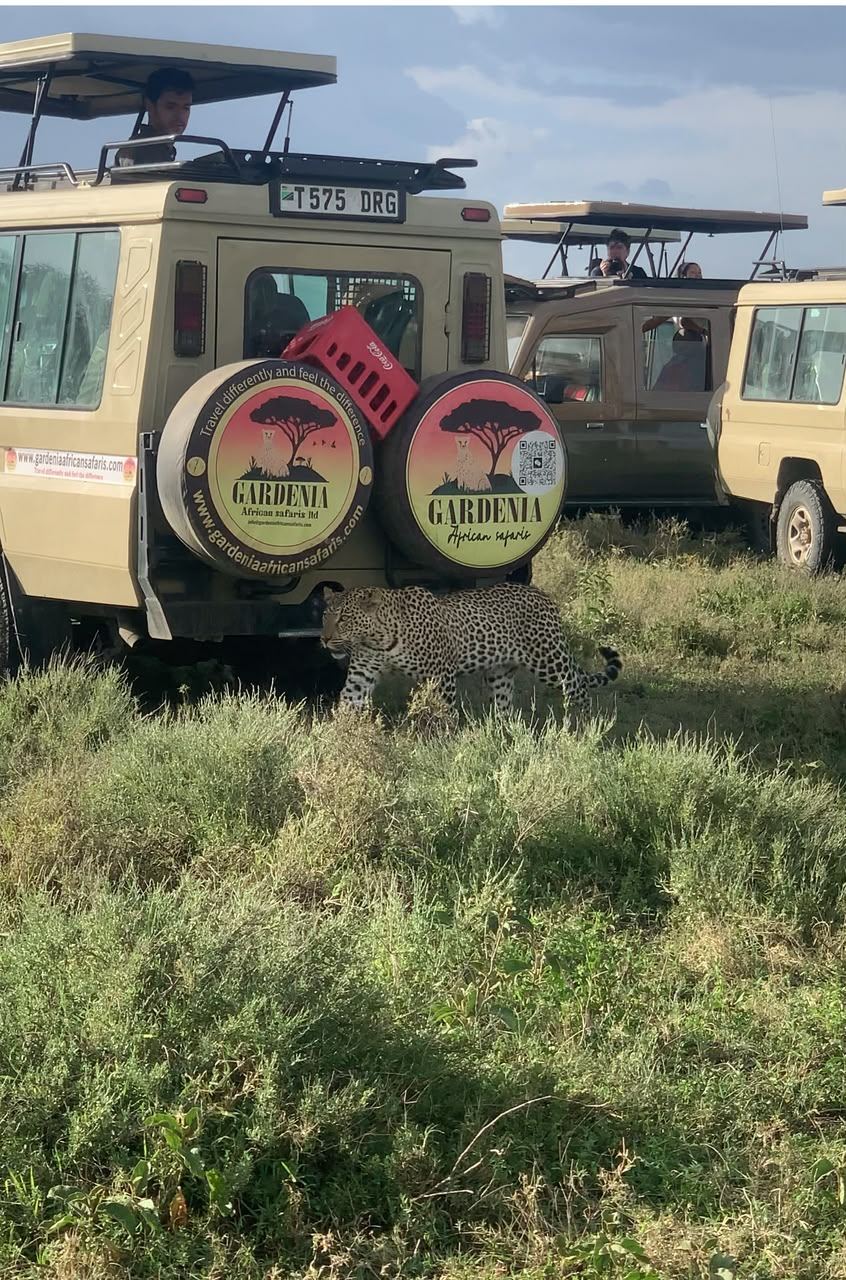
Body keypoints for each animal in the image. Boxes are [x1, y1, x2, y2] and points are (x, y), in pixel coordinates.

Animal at [321, 582, 621, 715]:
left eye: (343, 619)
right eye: (324, 616)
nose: (323, 639)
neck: (378, 639)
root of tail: (543, 595)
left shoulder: (441, 675)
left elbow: (444, 711)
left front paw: (442, 741)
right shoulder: (361, 675)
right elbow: (348, 701)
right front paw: (340, 738)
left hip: (549, 660)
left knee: (577, 686)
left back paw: (583, 728)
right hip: (500, 672)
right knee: (503, 706)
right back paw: (502, 735)